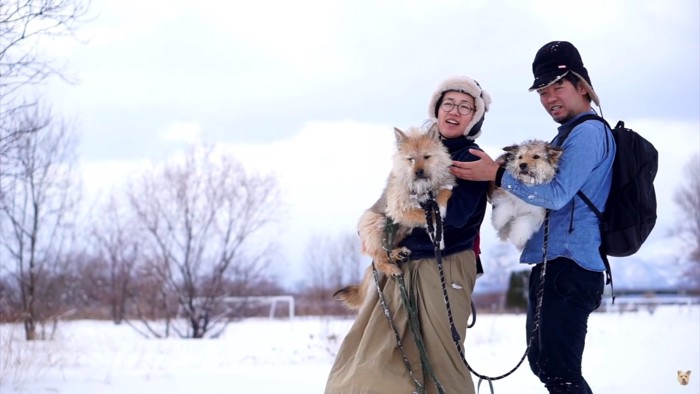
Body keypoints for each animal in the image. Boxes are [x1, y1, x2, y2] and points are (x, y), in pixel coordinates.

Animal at [332, 124, 454, 310]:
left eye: (426, 156)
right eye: (410, 159)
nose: (419, 172)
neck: (420, 188)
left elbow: (438, 201)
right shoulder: (399, 209)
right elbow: (426, 214)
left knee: (387, 251)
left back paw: (398, 253)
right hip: (373, 220)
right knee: (378, 257)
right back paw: (391, 267)